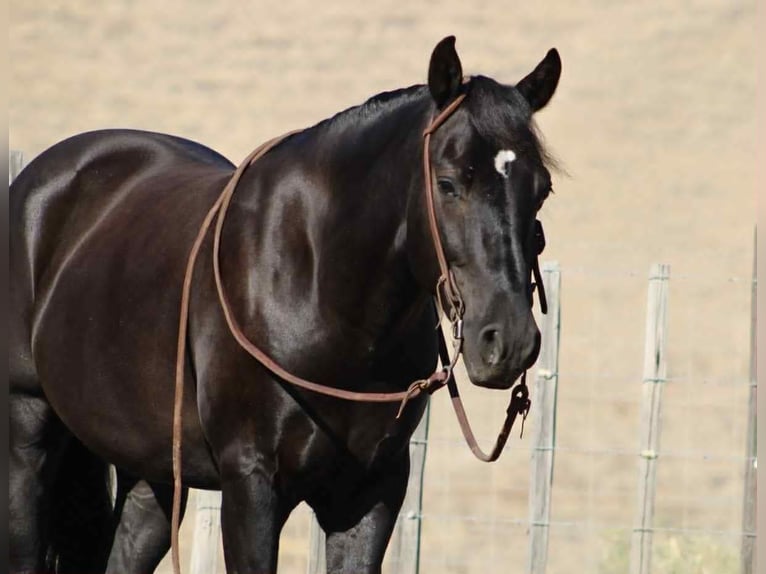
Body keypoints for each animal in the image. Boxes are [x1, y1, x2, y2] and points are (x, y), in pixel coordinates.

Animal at [9, 36, 561, 573]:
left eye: (542, 190)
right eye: (447, 184)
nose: (508, 341)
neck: (320, 296)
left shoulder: (371, 493)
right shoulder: (250, 485)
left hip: (154, 471)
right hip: (27, 432)